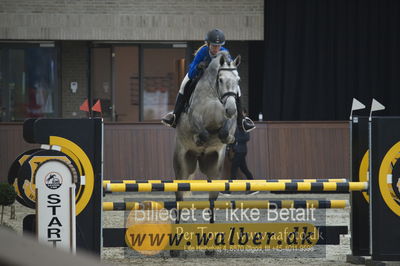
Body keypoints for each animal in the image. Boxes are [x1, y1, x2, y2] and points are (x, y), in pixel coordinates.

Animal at [173, 50, 241, 224]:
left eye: (238, 80)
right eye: (221, 79)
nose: (231, 109)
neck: (215, 95)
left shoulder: (229, 120)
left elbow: (224, 132)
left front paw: (228, 139)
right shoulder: (194, 117)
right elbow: (202, 132)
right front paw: (200, 139)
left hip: (214, 168)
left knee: (212, 197)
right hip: (182, 164)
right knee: (179, 195)